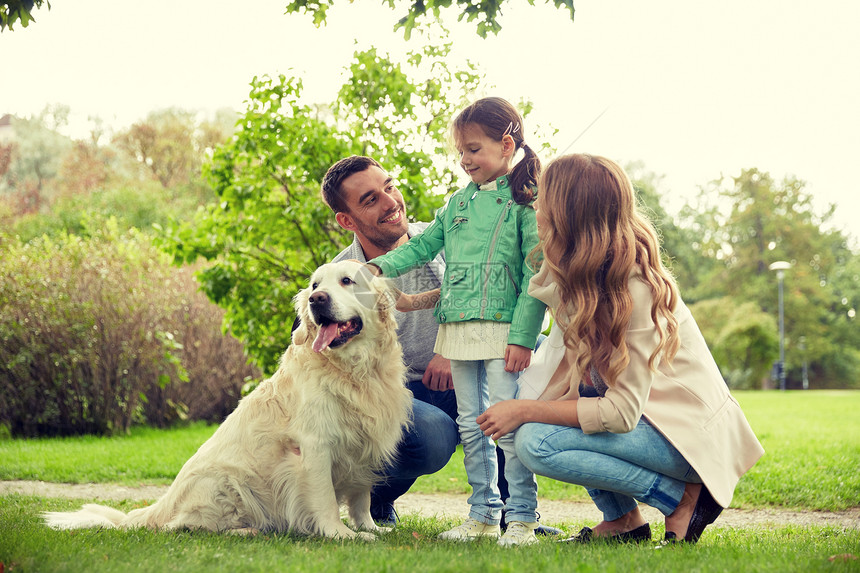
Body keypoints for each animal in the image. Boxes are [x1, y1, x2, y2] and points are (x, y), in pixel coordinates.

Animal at [42, 262, 412, 540]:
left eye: (347, 281)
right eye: (315, 285)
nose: (316, 300)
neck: (356, 370)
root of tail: (163, 503)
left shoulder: (363, 443)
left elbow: (361, 496)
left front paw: (370, 527)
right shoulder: (315, 446)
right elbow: (323, 499)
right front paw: (340, 534)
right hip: (226, 482)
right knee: (185, 526)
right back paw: (247, 530)